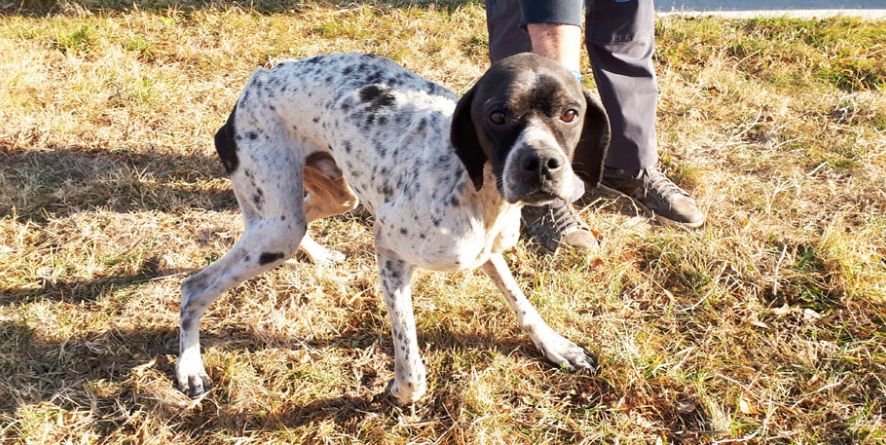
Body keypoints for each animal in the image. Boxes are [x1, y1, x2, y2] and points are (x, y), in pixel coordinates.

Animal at [178, 52, 612, 402]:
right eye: (498, 116)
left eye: (570, 113)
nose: (541, 164)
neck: (475, 186)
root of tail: (260, 77)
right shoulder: (389, 252)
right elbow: (411, 362)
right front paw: (400, 392)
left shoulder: (487, 252)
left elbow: (522, 304)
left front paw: (556, 346)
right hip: (276, 230)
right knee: (193, 286)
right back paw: (189, 367)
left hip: (327, 201)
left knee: (303, 217)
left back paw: (317, 254)